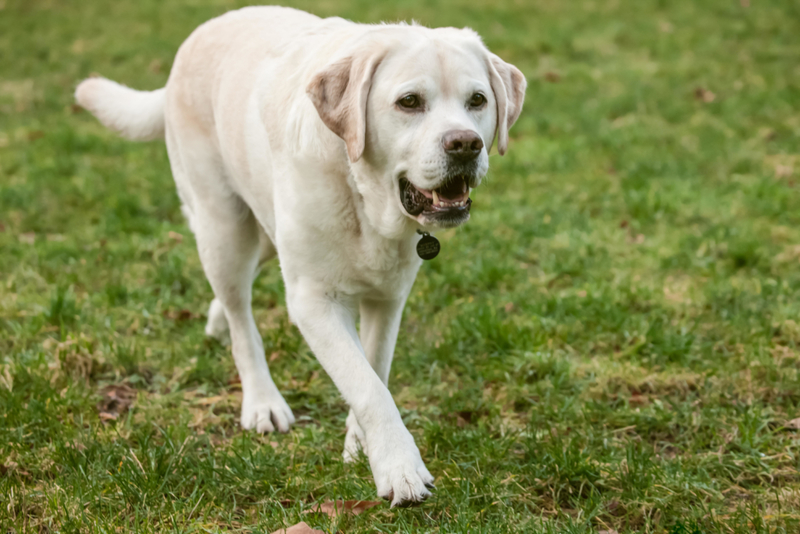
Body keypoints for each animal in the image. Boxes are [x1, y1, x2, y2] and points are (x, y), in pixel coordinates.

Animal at [73, 5, 524, 506]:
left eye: (477, 100)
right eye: (409, 102)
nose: (465, 144)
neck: (363, 193)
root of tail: (197, 37)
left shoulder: (389, 298)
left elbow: (375, 368)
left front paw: (360, 444)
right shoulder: (313, 301)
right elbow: (367, 385)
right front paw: (398, 466)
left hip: (264, 230)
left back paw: (215, 320)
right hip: (225, 230)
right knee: (241, 320)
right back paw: (261, 400)